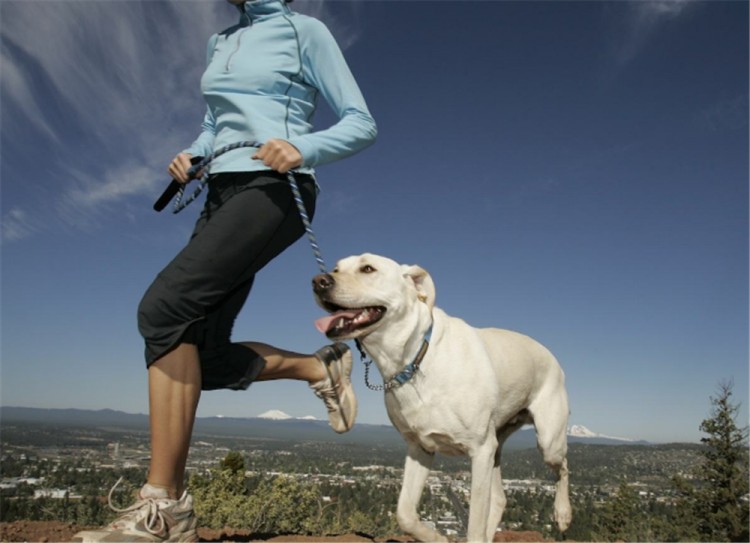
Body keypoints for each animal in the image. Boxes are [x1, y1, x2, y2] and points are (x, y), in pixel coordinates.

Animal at [314, 255, 572, 543]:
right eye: (336, 269)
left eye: (368, 268)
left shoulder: (480, 450)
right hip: (496, 447)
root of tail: (551, 355)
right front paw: (437, 538)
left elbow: (474, 523)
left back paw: (563, 514)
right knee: (500, 499)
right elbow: (405, 514)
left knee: (563, 466)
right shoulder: (421, 447)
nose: (319, 281)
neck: (414, 359)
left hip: (547, 441)